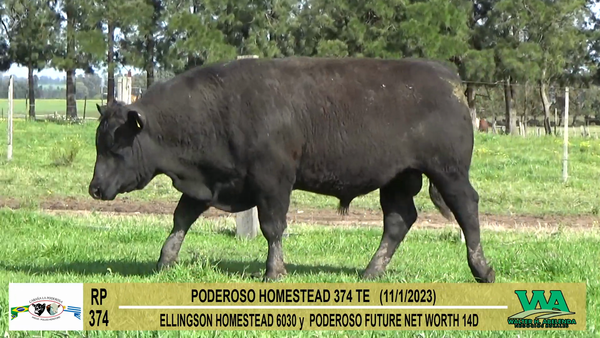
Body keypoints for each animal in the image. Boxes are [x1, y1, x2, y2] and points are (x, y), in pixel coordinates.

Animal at [88, 56, 492, 282]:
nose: (94, 188)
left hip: (449, 172)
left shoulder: (273, 182)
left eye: (115, 146)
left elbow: (272, 227)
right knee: (398, 220)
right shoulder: (210, 183)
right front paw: (164, 262)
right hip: (398, 179)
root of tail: (451, 82)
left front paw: (274, 272)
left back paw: (481, 269)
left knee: (467, 210)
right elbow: (181, 219)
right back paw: (370, 271)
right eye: (99, 143)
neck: (220, 109)